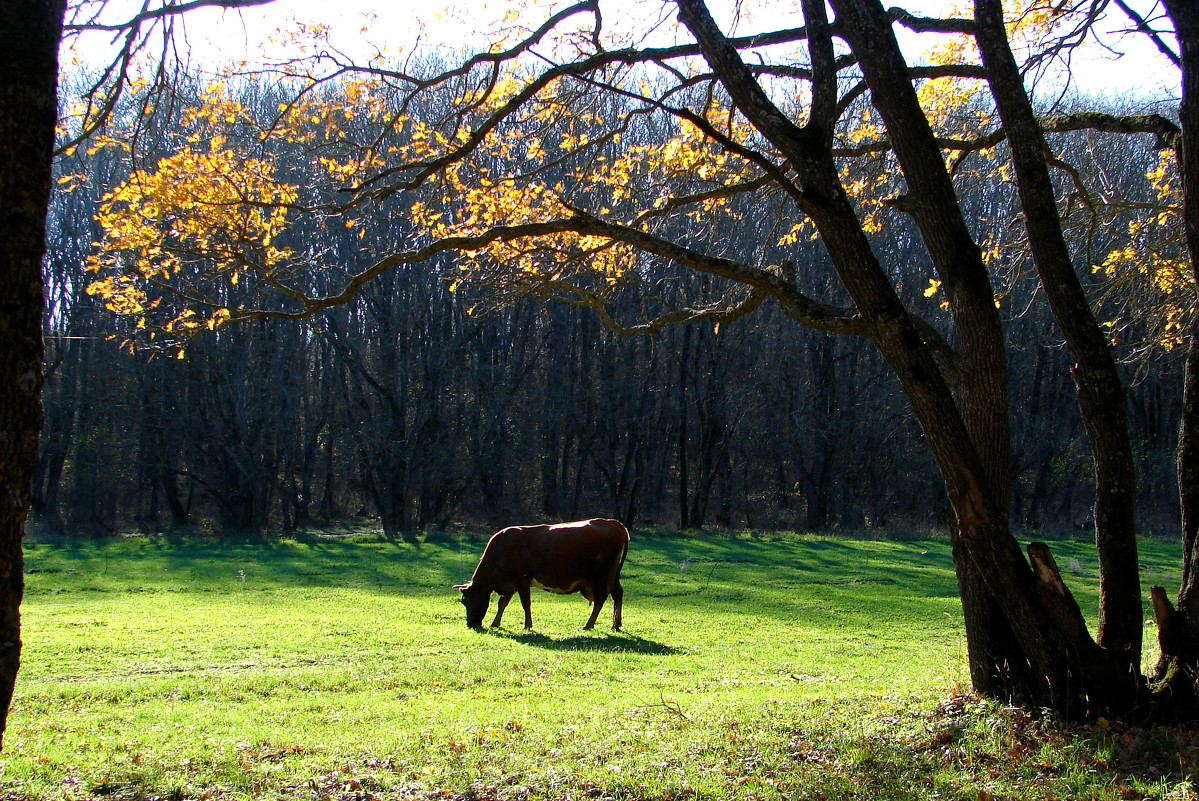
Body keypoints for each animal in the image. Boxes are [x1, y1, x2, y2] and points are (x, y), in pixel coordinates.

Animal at [453, 520, 633, 633]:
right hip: (612, 576)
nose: (470, 624)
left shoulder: (522, 580)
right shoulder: (510, 583)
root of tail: (613, 523)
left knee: (601, 599)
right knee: (617, 594)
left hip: (601, 577)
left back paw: (588, 625)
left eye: (466, 601)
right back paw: (616, 624)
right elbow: (502, 603)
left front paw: (527, 625)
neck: (501, 551)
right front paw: (495, 623)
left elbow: (525, 603)